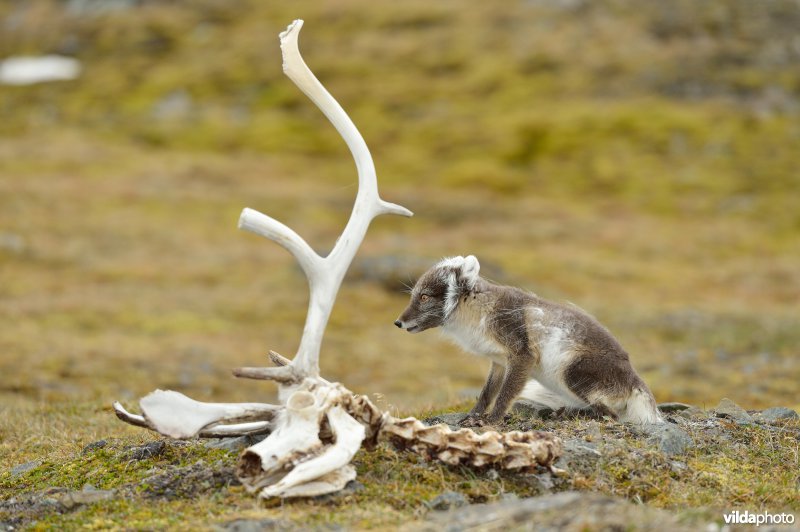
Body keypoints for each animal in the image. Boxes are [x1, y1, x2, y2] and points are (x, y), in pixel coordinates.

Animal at [394, 256, 664, 426]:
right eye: (414, 295)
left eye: (424, 296)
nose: (398, 322)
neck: (476, 311)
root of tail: (636, 381)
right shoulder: (499, 361)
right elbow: (487, 393)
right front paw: (473, 416)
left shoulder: (522, 353)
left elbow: (505, 394)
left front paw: (491, 421)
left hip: (573, 372)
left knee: (611, 415)